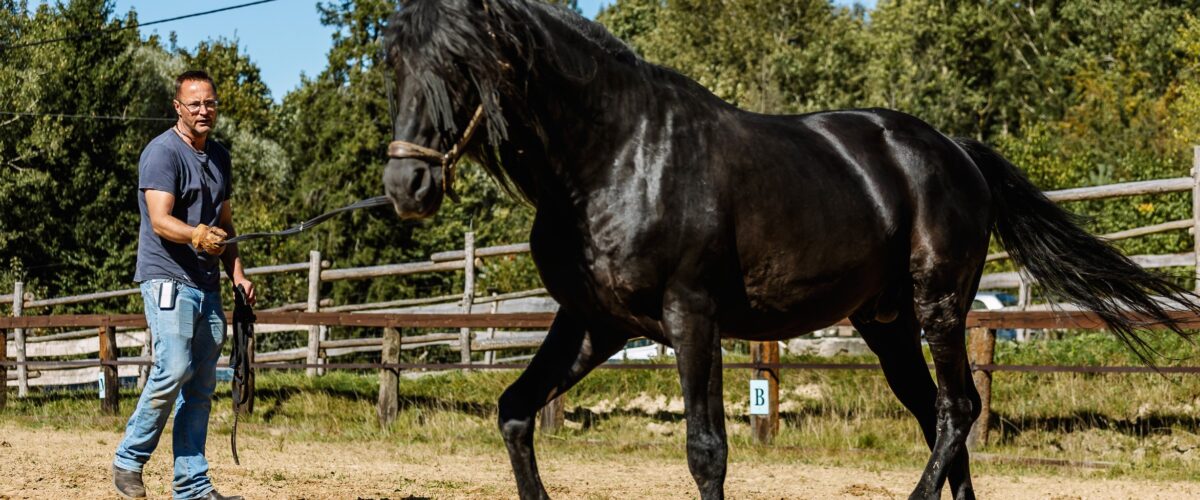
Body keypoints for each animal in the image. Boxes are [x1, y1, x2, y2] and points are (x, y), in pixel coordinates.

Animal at [380, 1, 1199, 498]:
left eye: (458, 64)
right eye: (396, 64)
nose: (405, 183)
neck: (614, 156)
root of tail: (955, 151)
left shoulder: (693, 318)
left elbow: (706, 449)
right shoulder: (594, 322)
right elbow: (516, 412)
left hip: (939, 304)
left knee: (957, 407)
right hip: (887, 324)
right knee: (940, 412)